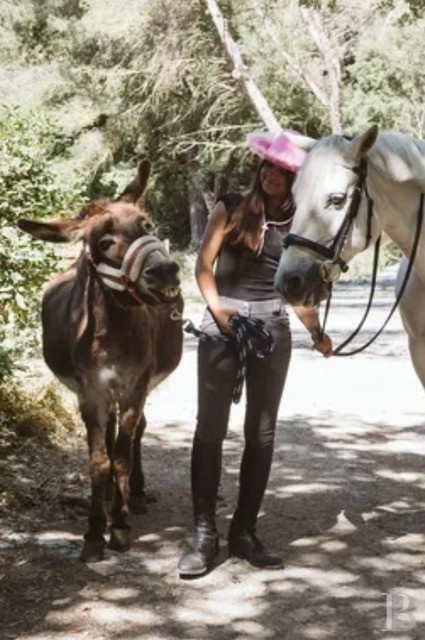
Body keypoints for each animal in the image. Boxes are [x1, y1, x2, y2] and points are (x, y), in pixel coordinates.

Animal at [18, 161, 184, 561]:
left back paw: (134, 496)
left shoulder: (134, 388)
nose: (166, 271)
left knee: (136, 432)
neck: (112, 329)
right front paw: (94, 532)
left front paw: (120, 527)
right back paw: (109, 496)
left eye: (146, 225)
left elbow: (122, 455)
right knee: (109, 439)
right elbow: (98, 460)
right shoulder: (89, 393)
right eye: (104, 243)